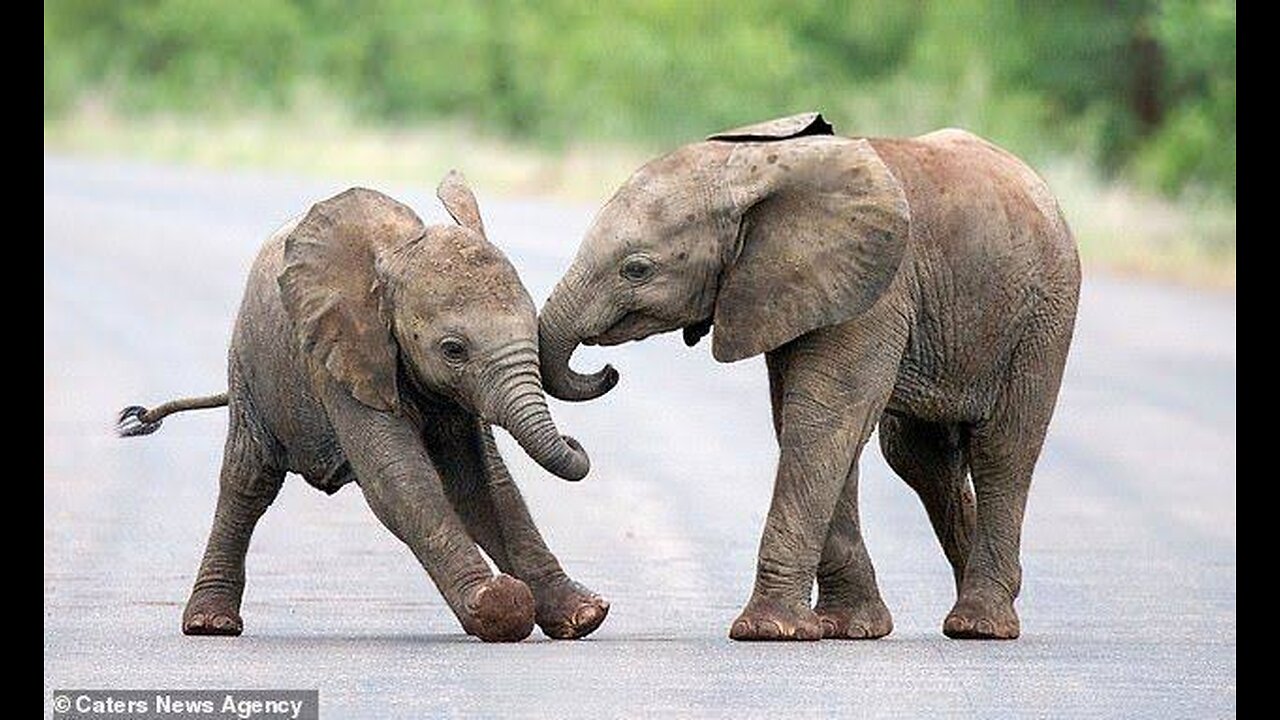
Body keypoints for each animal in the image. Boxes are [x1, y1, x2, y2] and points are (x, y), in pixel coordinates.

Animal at [117, 169, 606, 638]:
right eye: (453, 350)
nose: (575, 439)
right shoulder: (340, 356)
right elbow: (399, 478)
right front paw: (500, 607)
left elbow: (483, 483)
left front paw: (584, 616)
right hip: (248, 367)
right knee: (248, 480)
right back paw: (210, 624)